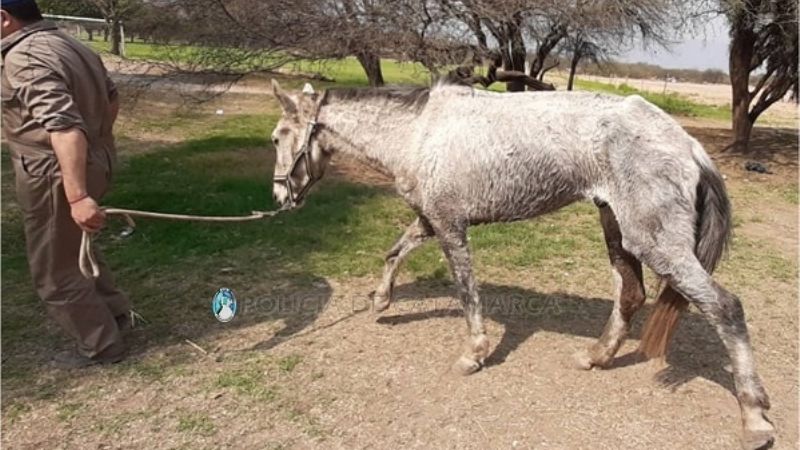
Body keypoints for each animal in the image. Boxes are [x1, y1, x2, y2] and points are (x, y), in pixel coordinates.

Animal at [268, 80, 774, 449]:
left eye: (277, 137)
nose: (278, 197)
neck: (419, 132)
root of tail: (687, 143)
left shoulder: (450, 227)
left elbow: (467, 293)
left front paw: (473, 354)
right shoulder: (429, 221)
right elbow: (395, 251)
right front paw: (381, 301)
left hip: (656, 244)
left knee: (725, 308)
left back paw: (754, 419)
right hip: (618, 230)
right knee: (631, 294)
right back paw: (596, 357)